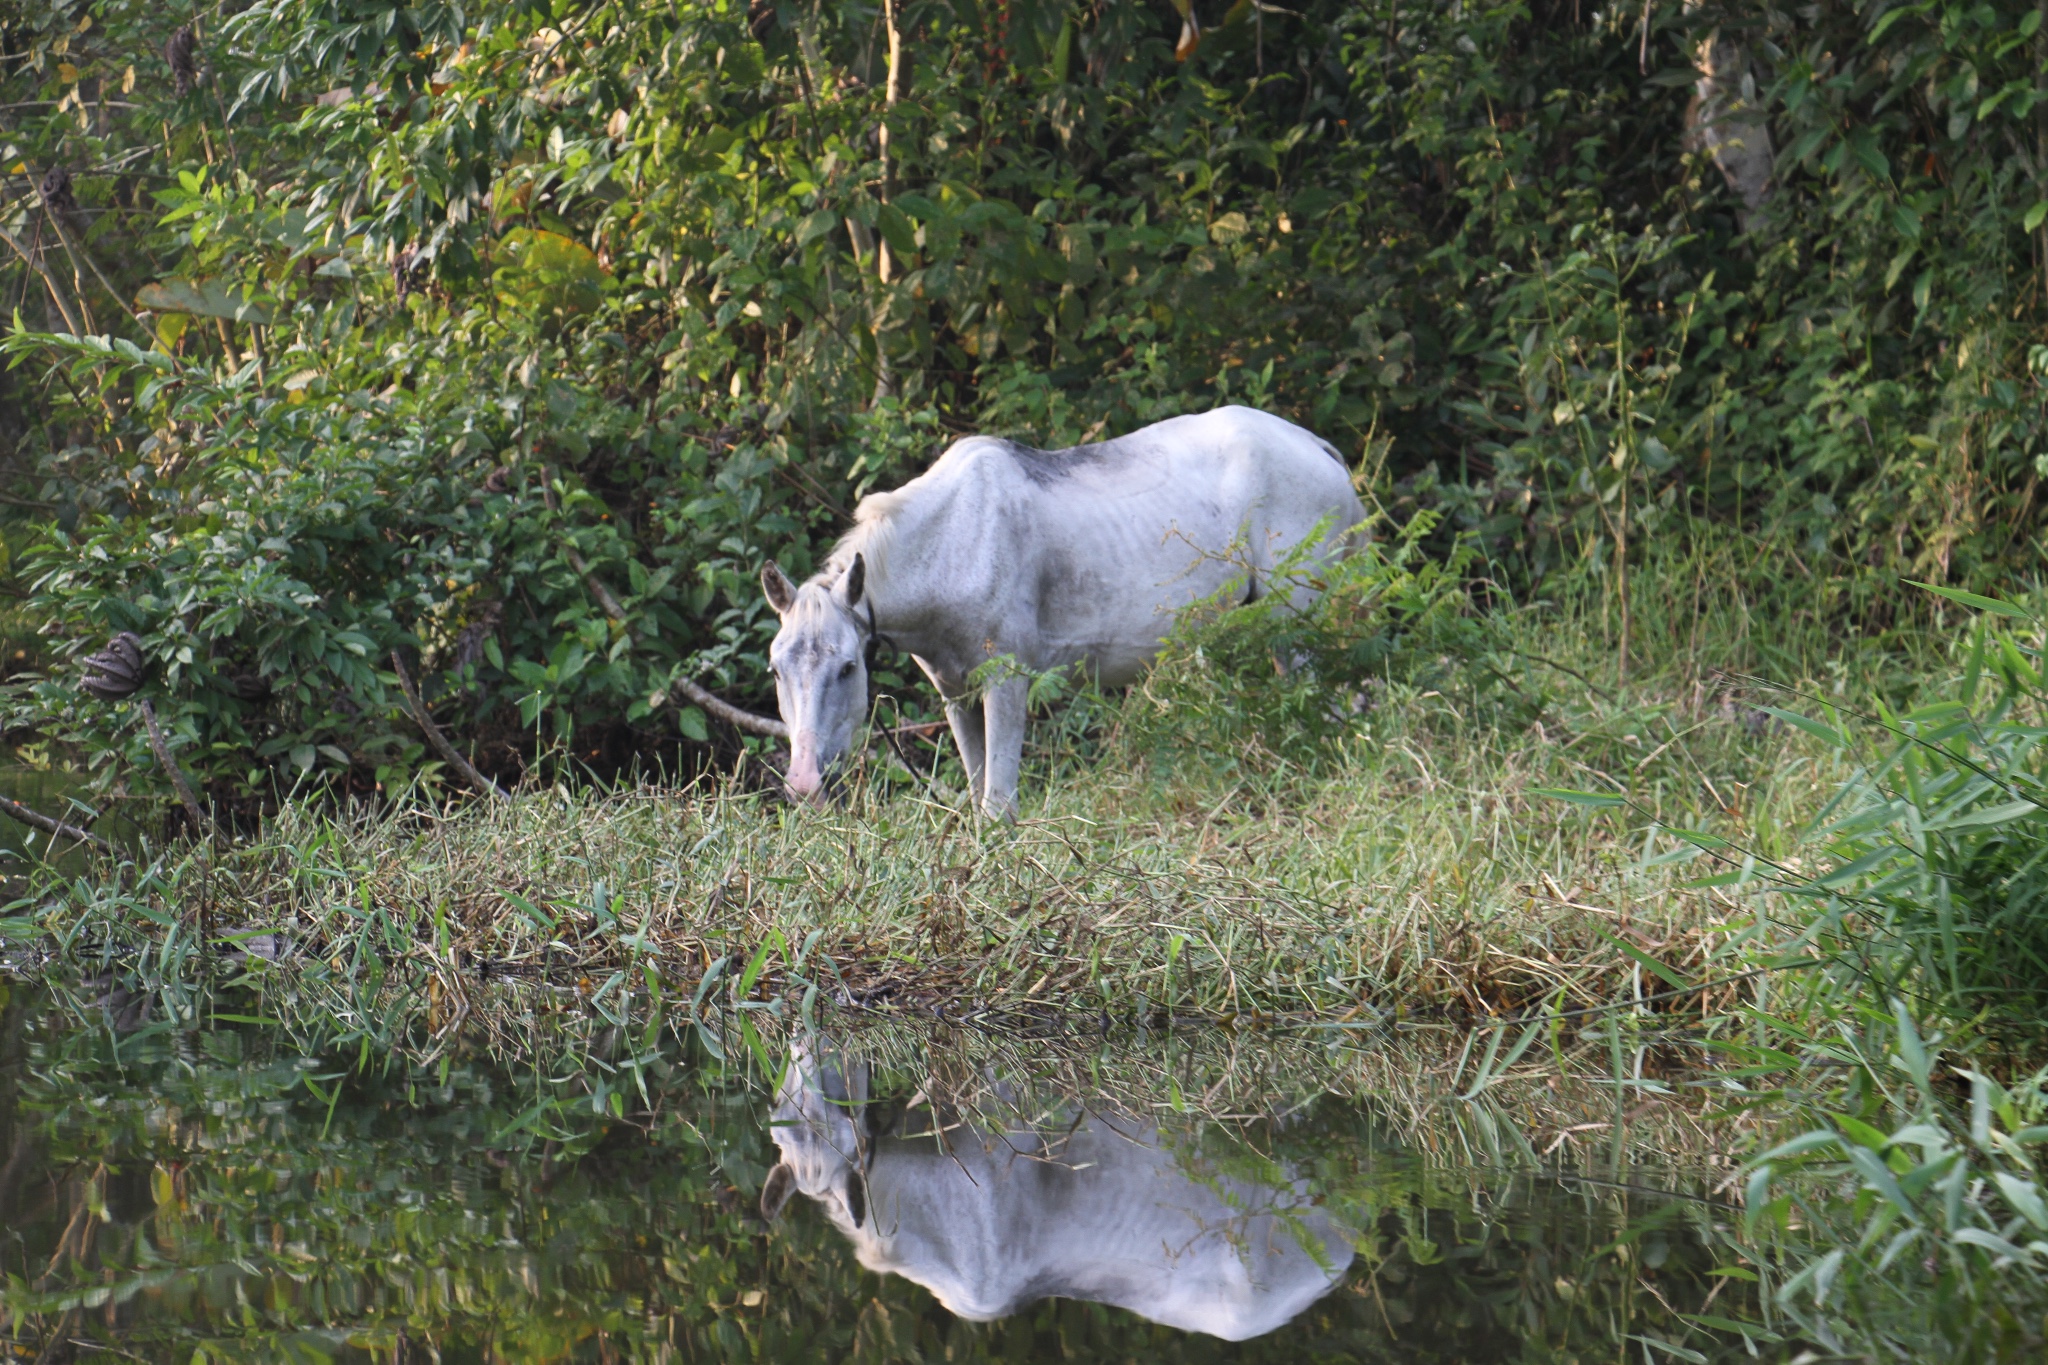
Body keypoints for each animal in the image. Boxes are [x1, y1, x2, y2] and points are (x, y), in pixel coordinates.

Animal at [761, 401, 1368, 818]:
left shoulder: (1006, 682)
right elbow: (979, 792)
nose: (804, 784)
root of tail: (1316, 446)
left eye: (848, 668)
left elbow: (998, 803)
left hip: (1300, 626)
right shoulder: (956, 694)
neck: (954, 541)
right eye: (776, 670)